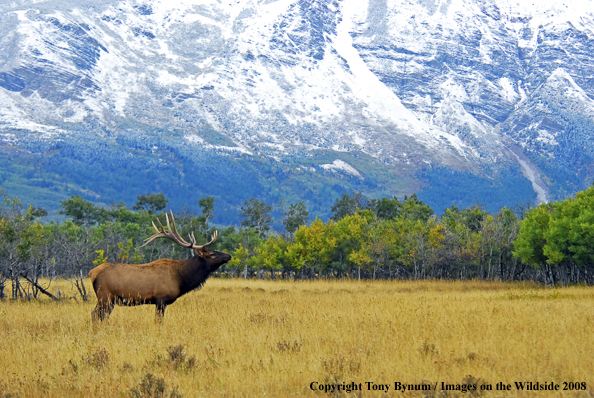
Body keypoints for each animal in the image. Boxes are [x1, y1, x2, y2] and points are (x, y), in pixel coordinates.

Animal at [89, 210, 230, 322]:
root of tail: (92, 273)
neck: (181, 279)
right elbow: (158, 321)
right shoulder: (161, 299)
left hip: (107, 299)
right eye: (212, 254)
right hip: (105, 296)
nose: (228, 256)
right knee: (96, 314)